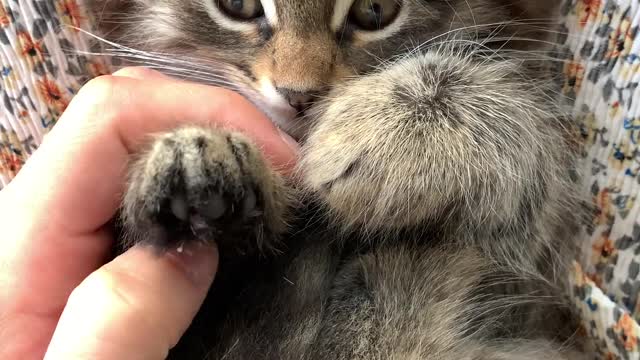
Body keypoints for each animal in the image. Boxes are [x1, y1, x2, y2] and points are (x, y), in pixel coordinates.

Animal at [87, 0, 588, 358]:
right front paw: (199, 168)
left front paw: (388, 129)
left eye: (375, 9)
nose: (300, 95)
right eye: (237, 3)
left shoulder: (521, 281)